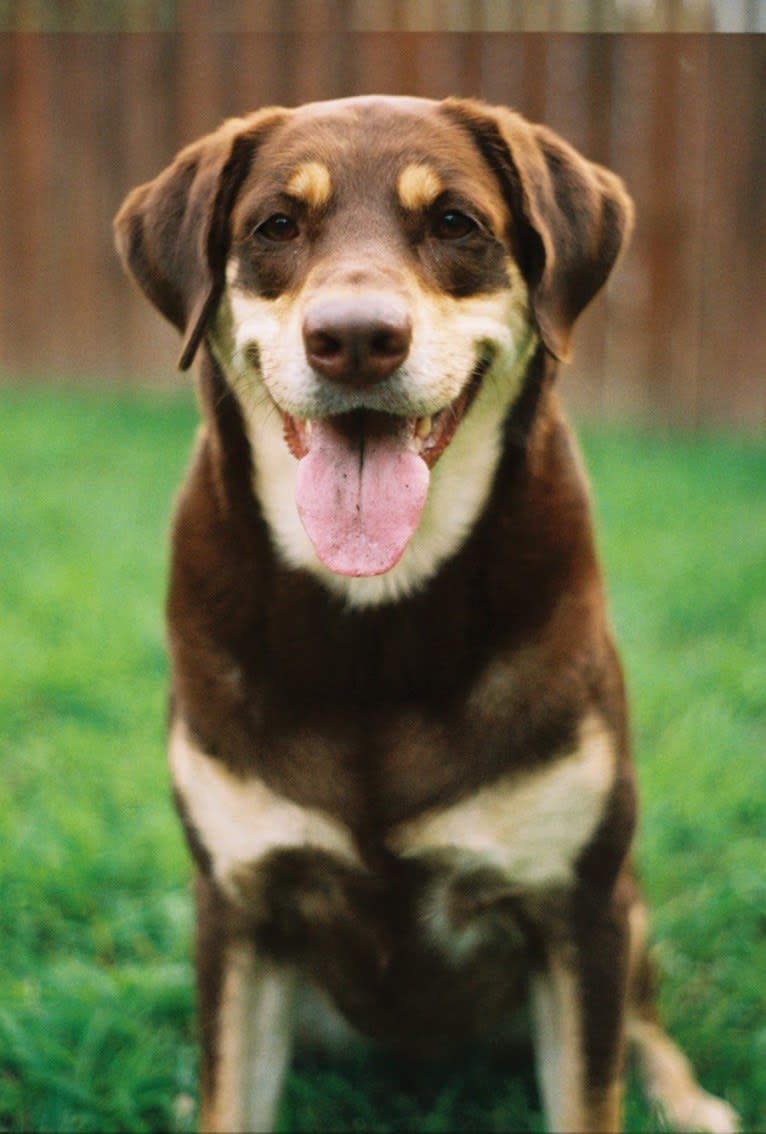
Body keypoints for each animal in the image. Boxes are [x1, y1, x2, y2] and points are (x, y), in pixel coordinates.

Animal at [116, 97, 739, 1134]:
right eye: (275, 227)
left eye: (454, 222)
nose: (356, 338)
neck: (375, 610)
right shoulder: (239, 907)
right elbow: (228, 1096)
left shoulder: (577, 905)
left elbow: (592, 1089)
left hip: (628, 899)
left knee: (644, 1023)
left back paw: (689, 1102)